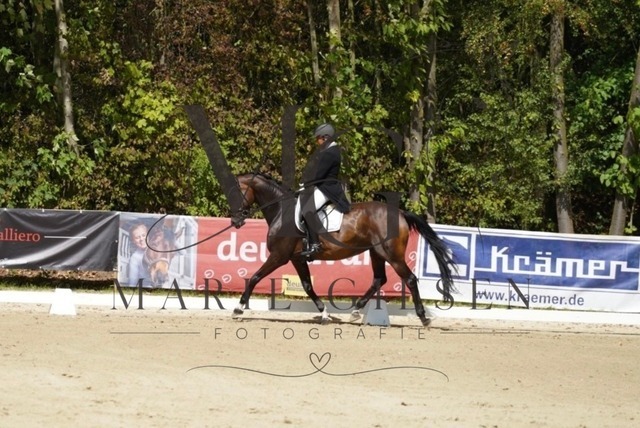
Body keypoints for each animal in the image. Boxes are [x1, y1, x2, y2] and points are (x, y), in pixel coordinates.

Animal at [229, 173, 456, 326]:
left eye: (238, 193)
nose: (235, 221)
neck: (281, 212)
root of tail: (400, 212)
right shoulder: (297, 259)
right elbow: (307, 286)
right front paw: (324, 314)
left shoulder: (279, 256)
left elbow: (254, 278)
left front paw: (238, 309)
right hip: (376, 253)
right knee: (379, 279)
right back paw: (356, 311)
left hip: (392, 255)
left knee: (409, 279)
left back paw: (423, 318)